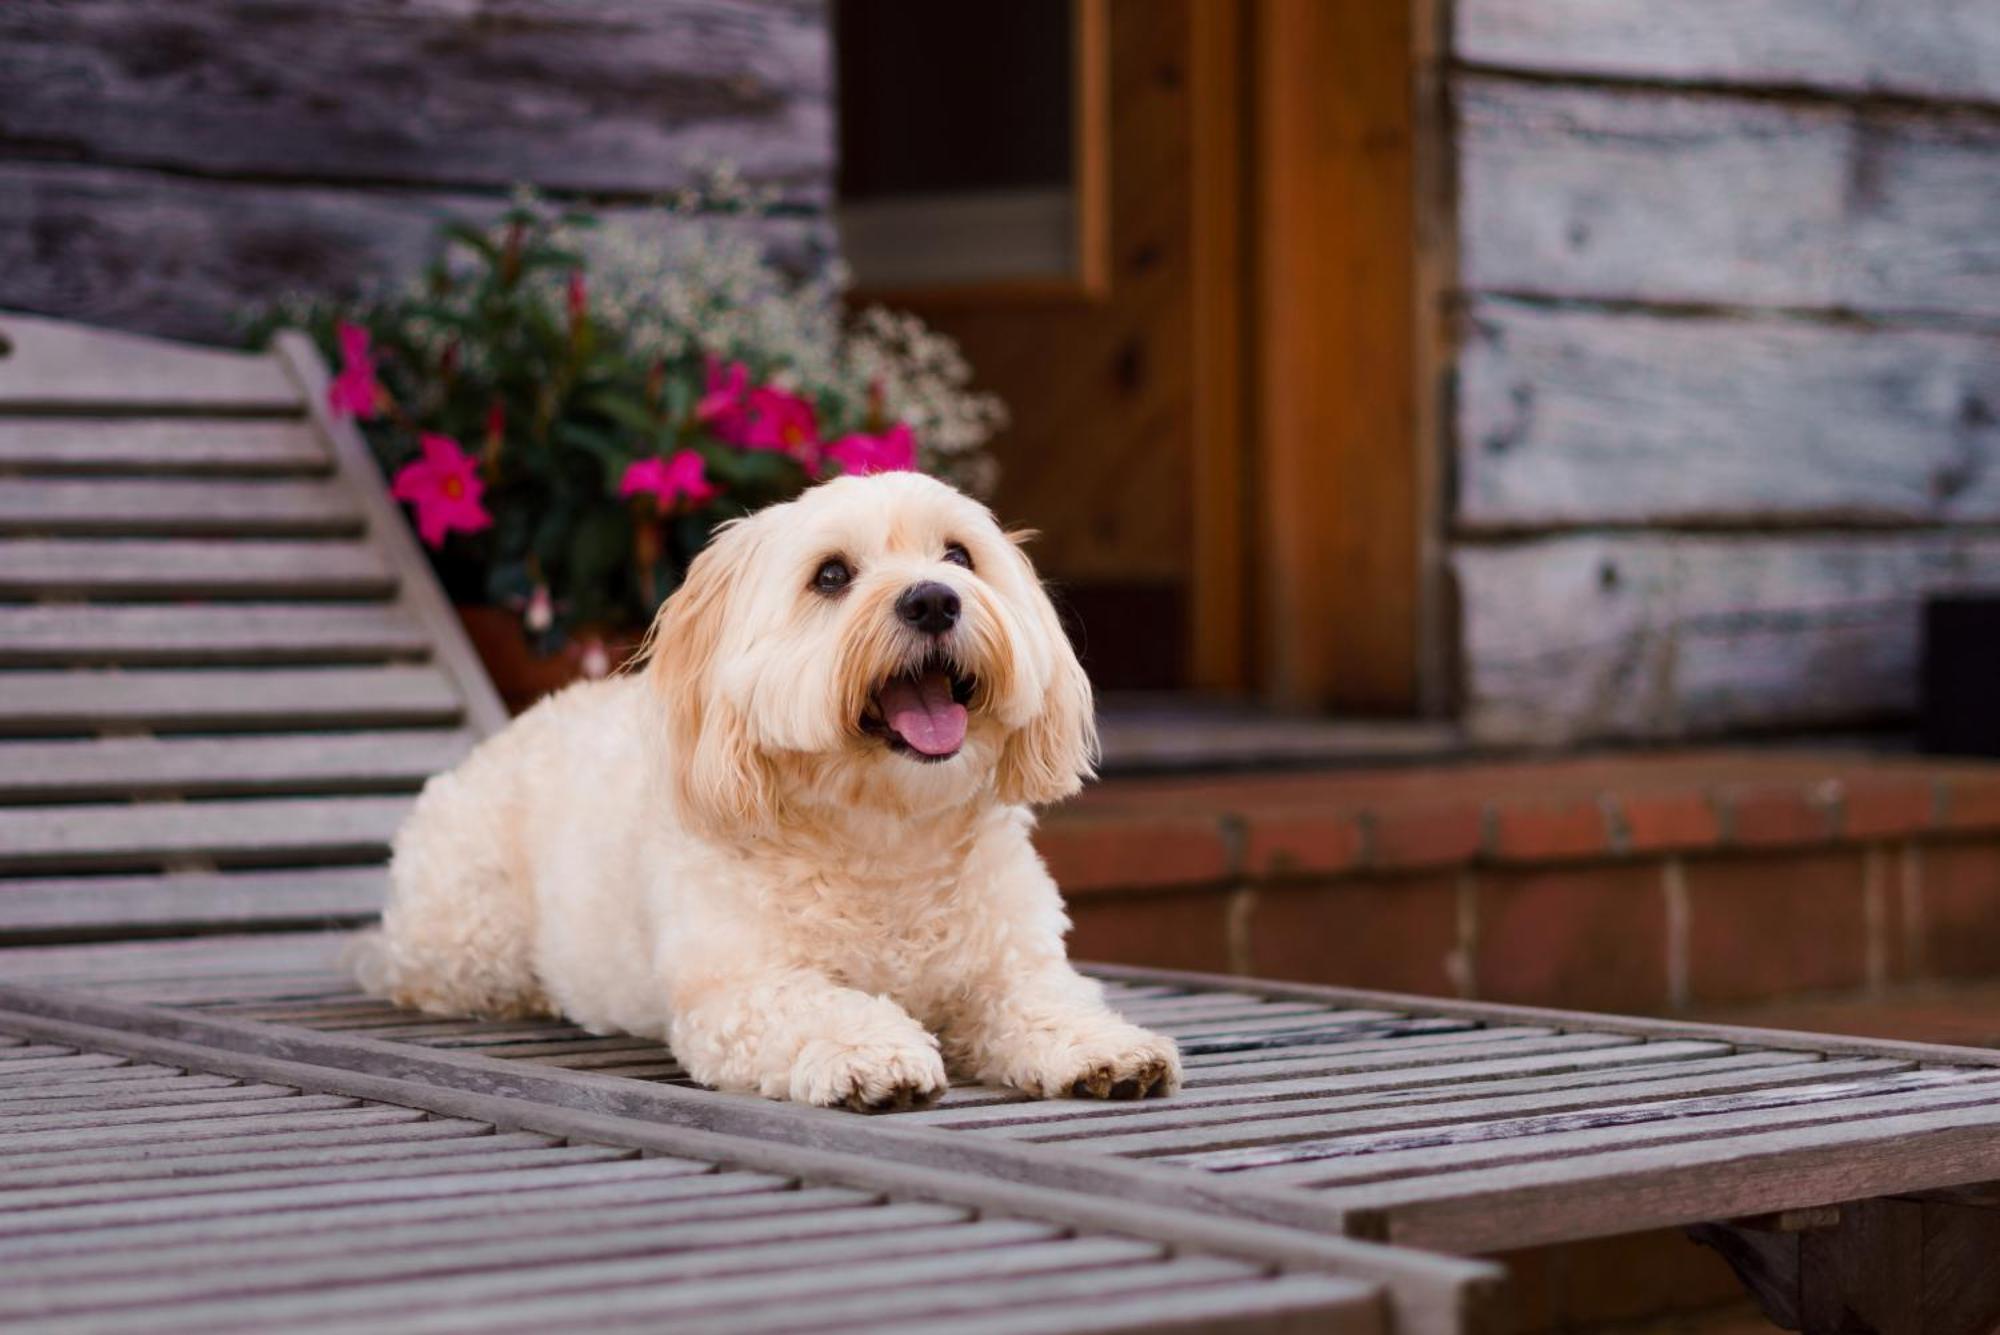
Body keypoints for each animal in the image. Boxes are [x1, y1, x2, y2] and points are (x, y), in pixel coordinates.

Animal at [352, 473, 1176, 1111]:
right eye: (832, 575)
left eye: (958, 554)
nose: (935, 600)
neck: (887, 834)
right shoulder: (742, 987)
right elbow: (819, 1005)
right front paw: (872, 1054)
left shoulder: (1015, 963)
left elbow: (1047, 997)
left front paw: (1102, 1045)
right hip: (466, 934)